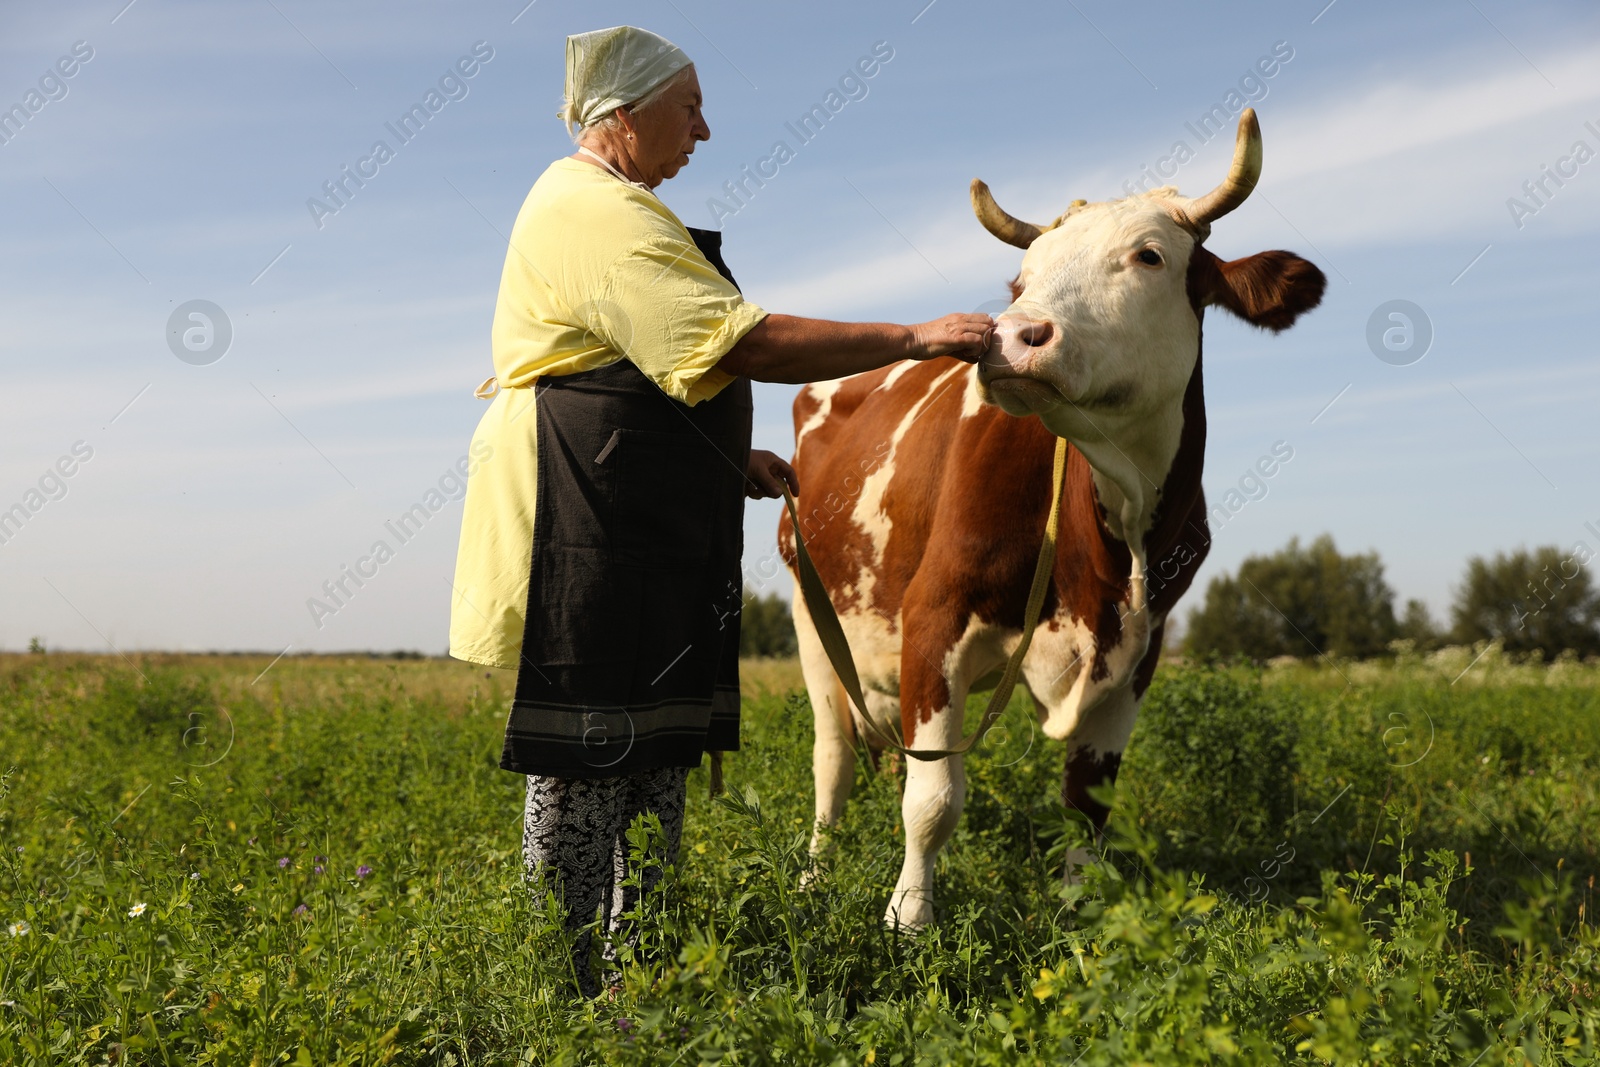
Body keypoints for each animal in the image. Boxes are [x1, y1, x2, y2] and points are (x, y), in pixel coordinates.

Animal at [774, 108, 1324, 927]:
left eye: (1149, 255)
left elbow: (1087, 803)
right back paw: (814, 877)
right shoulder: (933, 616)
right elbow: (933, 799)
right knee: (833, 760)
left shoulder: (1141, 653)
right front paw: (908, 917)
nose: (1009, 335)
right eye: (1020, 280)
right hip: (812, 618)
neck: (1113, 537)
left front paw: (1079, 914)